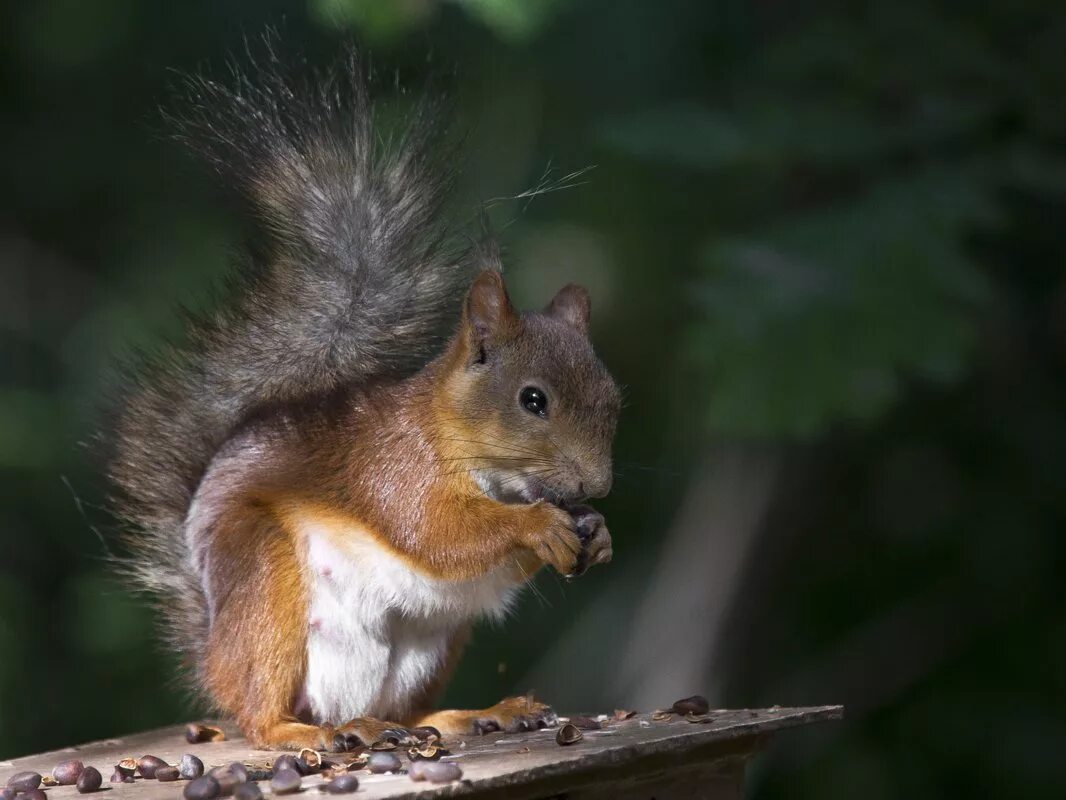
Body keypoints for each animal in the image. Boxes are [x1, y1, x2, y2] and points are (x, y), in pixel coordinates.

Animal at [103, 48, 622, 750]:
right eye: (533, 400)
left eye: (613, 399)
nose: (597, 487)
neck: (456, 439)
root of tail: (213, 654)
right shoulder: (394, 468)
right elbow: (437, 532)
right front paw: (539, 525)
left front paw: (596, 534)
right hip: (264, 582)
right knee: (261, 710)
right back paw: (299, 733)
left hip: (432, 643)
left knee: (401, 712)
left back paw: (464, 715)